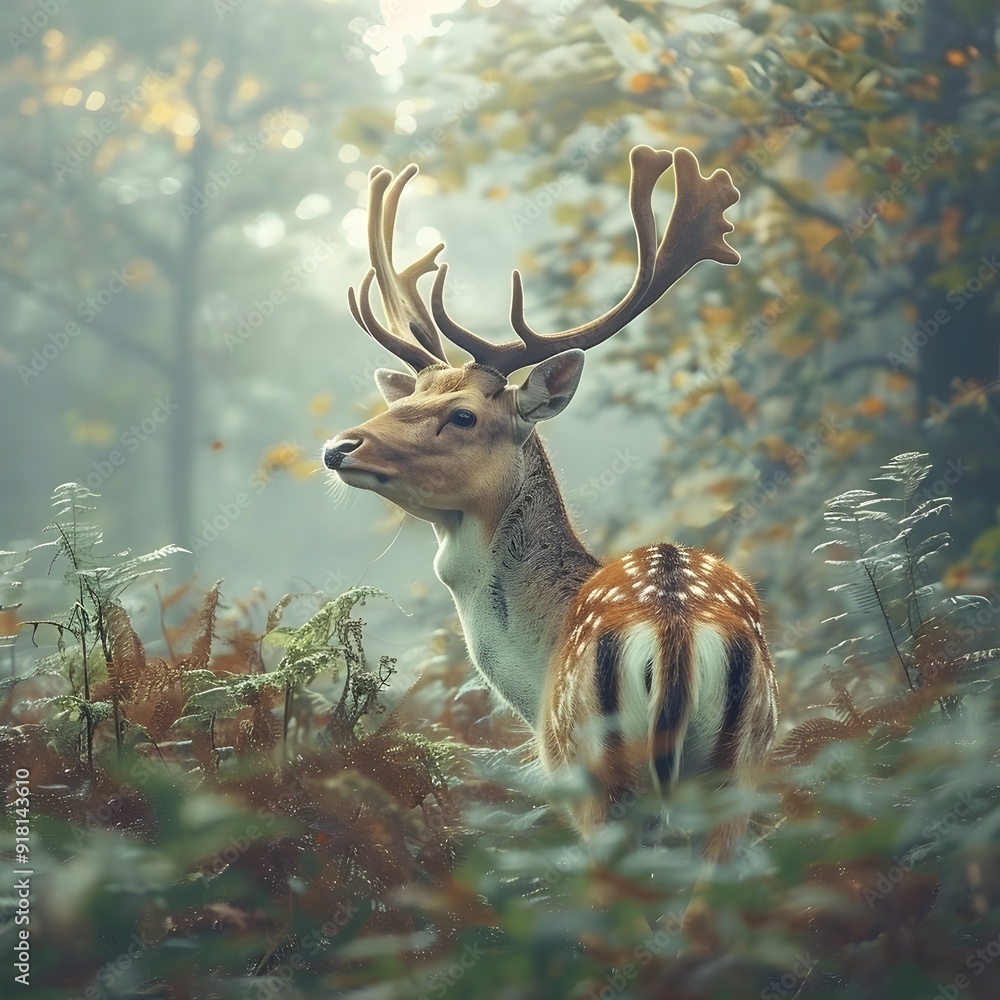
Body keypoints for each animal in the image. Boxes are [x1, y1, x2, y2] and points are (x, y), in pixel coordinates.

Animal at [323, 144, 778, 863]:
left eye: (463, 415)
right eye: (406, 400)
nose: (339, 446)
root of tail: (677, 630)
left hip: (599, 772)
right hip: (737, 772)